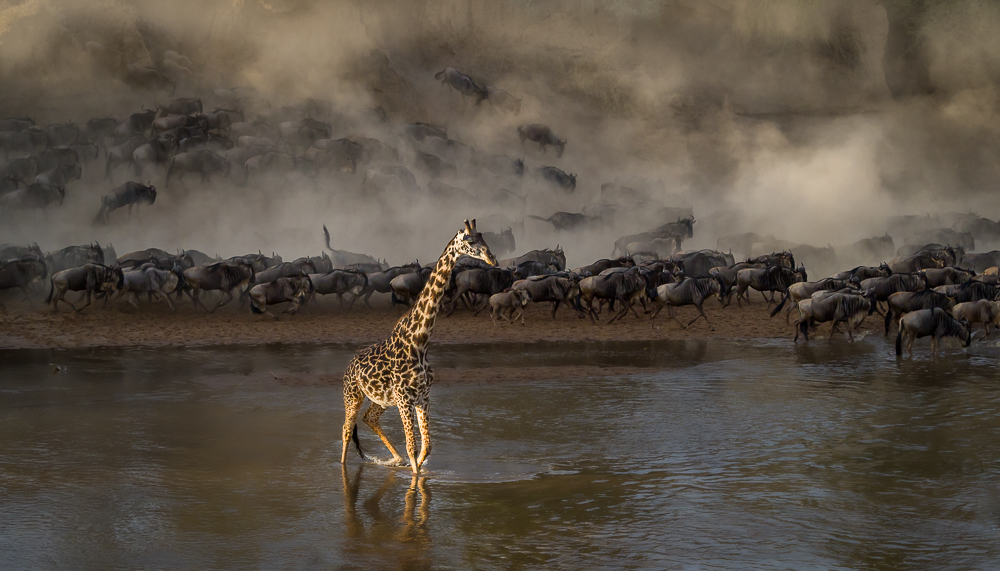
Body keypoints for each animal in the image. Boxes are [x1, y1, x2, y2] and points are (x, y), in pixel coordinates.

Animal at [342, 219, 498, 474]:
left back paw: (395, 459)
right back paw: (344, 466)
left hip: (381, 400)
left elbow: (426, 446)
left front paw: (417, 468)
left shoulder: (422, 397)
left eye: (483, 237)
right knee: (346, 431)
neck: (420, 340)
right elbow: (412, 447)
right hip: (353, 396)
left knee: (369, 418)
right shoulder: (405, 399)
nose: (492, 258)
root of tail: (349, 366)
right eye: (470, 241)